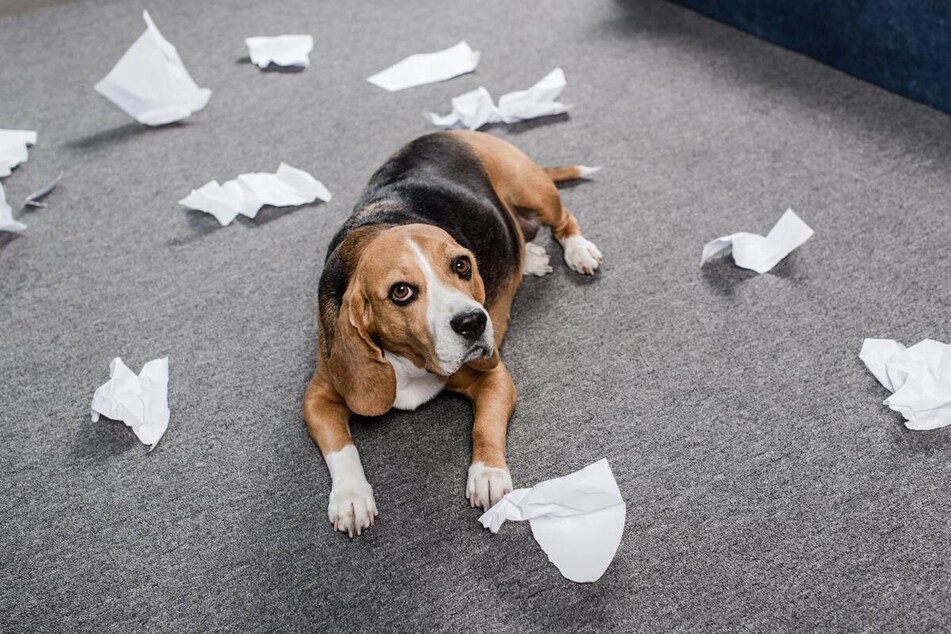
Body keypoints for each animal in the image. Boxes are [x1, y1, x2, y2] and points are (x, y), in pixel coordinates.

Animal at [304, 131, 604, 536]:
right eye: (401, 291)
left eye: (462, 265)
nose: (473, 322)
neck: (410, 363)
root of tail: (451, 132)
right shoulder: (317, 397)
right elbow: (342, 447)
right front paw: (351, 497)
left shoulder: (495, 376)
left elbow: (484, 426)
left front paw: (488, 474)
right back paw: (530, 257)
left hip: (534, 190)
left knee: (564, 219)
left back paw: (577, 250)